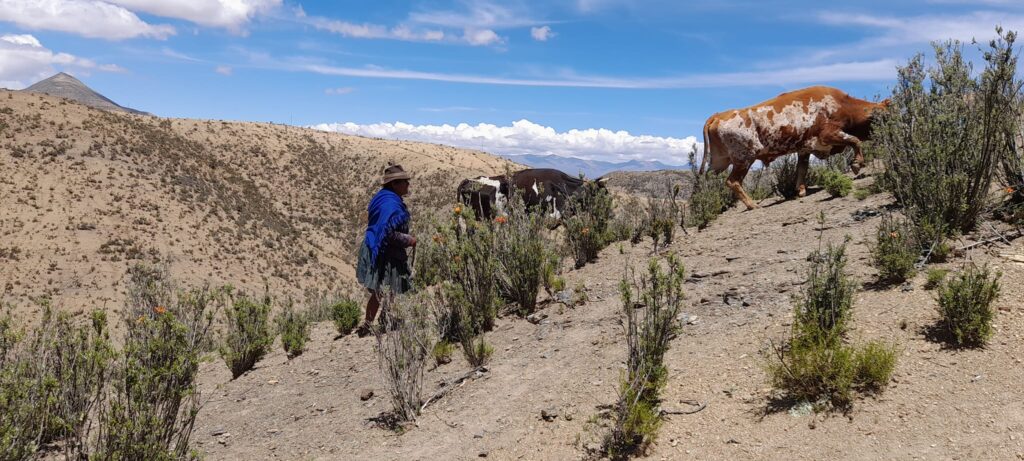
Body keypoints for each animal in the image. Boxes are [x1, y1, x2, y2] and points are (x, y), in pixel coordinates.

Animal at [696, 85, 888, 210]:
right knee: (733, 181)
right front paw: (857, 164)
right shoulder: (828, 135)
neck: (842, 105)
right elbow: (855, 140)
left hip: (720, 162)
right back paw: (752, 205)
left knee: (708, 182)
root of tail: (719, 115)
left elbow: (802, 168)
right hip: (745, 158)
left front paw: (800, 190)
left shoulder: (804, 148)